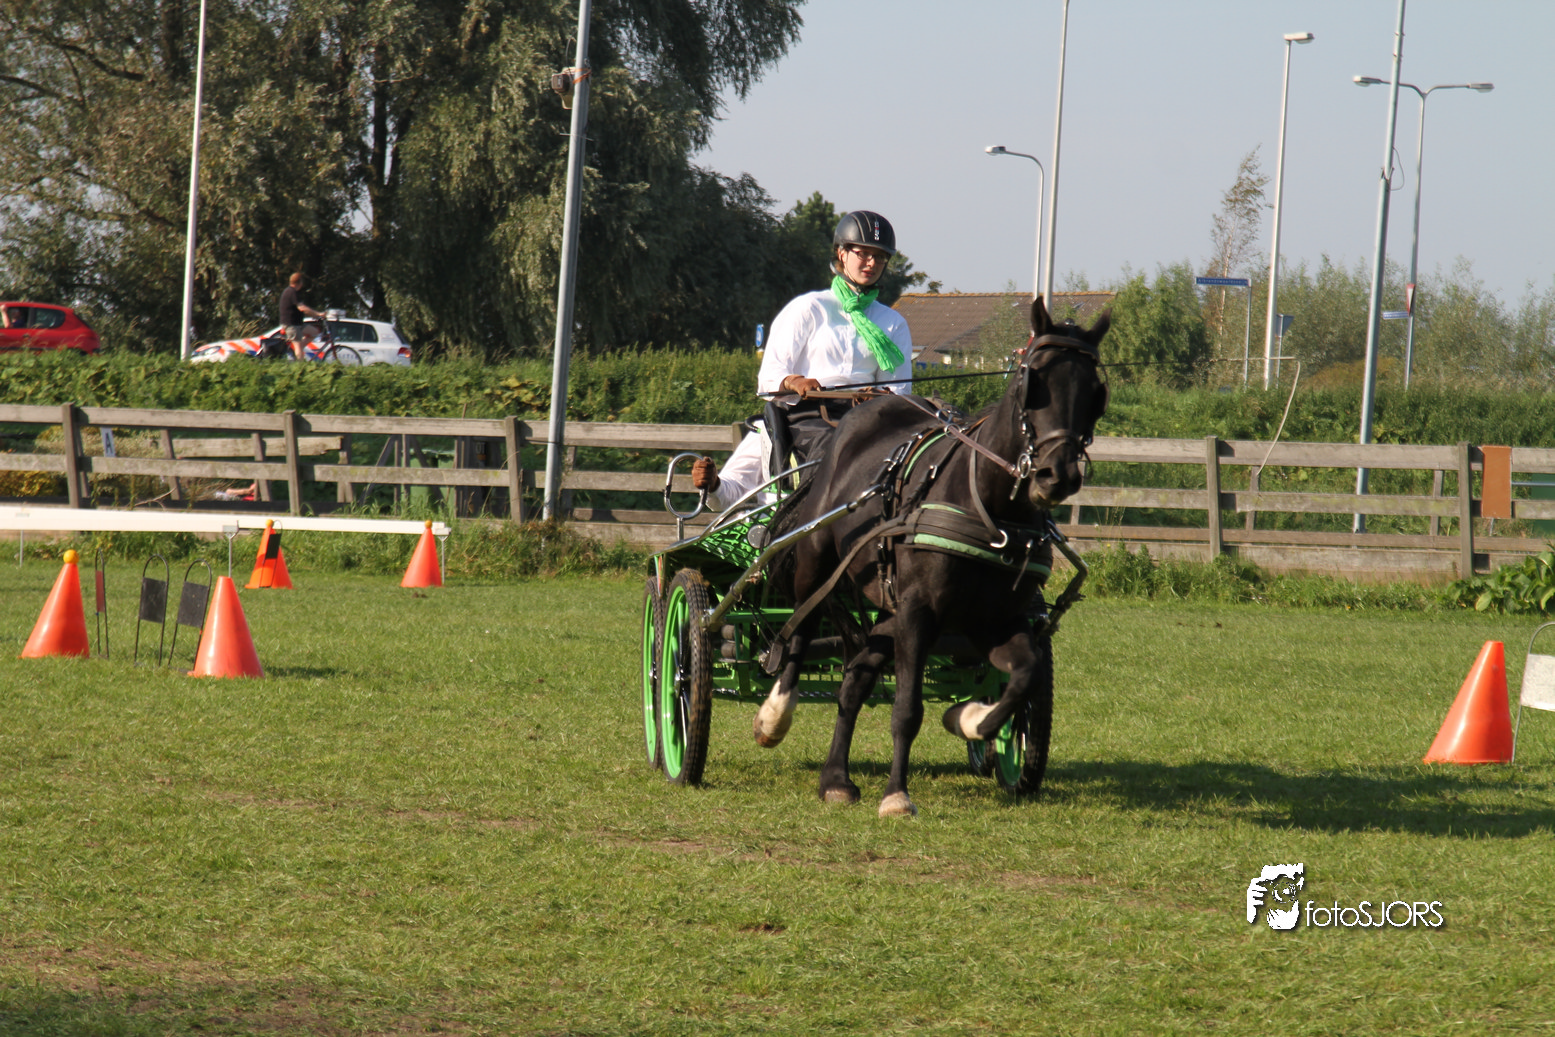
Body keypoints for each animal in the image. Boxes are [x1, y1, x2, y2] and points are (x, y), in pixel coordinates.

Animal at [753, 296, 1111, 817]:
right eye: (1032, 381)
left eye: (1096, 392)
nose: (1056, 475)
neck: (989, 507)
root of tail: (863, 409)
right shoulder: (920, 613)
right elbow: (907, 708)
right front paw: (897, 795)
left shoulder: (994, 620)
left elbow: (1023, 675)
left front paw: (973, 719)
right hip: (817, 562)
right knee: (798, 630)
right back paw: (775, 715)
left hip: (888, 608)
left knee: (854, 678)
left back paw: (836, 778)